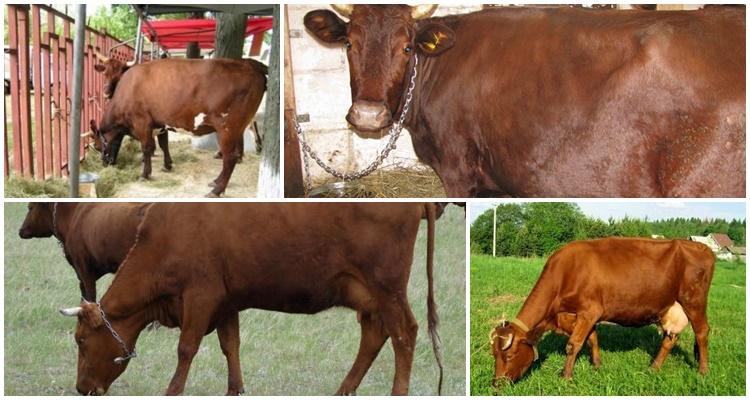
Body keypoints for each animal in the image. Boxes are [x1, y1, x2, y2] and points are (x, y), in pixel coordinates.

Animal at [58, 203, 444, 395]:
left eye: (80, 341)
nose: (81, 388)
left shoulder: (200, 295)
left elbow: (186, 349)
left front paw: (172, 390)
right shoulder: (226, 301)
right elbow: (231, 346)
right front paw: (235, 390)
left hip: (388, 288)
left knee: (404, 334)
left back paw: (396, 392)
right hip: (369, 296)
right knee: (375, 336)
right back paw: (343, 391)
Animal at [89, 57, 267, 197]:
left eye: (97, 147)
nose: (105, 164)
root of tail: (251, 64)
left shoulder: (142, 122)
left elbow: (146, 148)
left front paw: (145, 174)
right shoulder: (160, 123)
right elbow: (163, 144)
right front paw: (167, 165)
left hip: (227, 127)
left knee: (230, 157)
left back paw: (217, 190)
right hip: (235, 128)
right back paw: (216, 181)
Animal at [488, 237, 715, 385]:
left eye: (509, 356)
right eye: (494, 355)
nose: (496, 384)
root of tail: (702, 247)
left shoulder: (590, 311)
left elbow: (573, 344)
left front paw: (565, 376)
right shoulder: (579, 315)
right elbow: (592, 339)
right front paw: (597, 365)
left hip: (694, 302)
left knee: (702, 332)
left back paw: (703, 371)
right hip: (673, 307)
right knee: (670, 338)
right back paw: (653, 368)